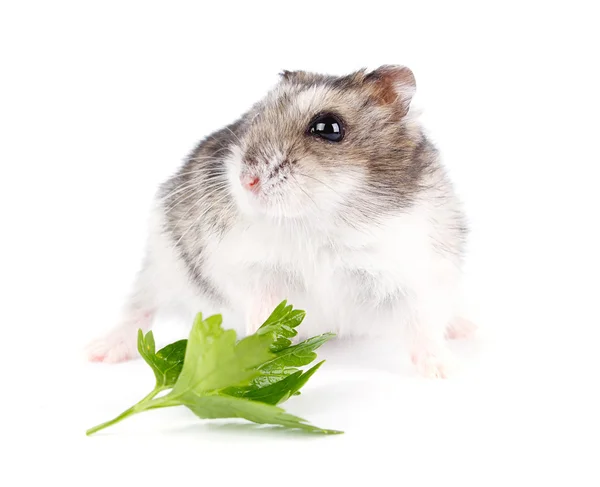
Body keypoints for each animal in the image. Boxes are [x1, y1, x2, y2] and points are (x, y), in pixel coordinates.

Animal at [88, 63, 474, 378]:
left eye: (328, 127)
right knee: (138, 309)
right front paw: (260, 336)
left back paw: (466, 329)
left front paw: (443, 371)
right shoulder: (240, 263)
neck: (320, 218)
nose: (246, 180)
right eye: (254, 118)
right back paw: (98, 352)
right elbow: (262, 295)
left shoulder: (415, 275)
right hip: (160, 264)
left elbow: (422, 323)